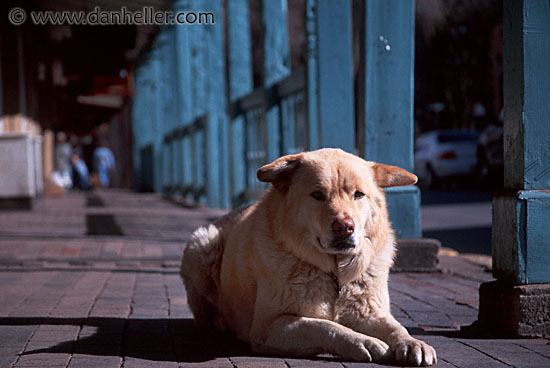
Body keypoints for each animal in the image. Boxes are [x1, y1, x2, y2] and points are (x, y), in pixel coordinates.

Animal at [181, 149, 440, 366]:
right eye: (317, 195)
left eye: (358, 195)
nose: (345, 227)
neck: (334, 274)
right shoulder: (270, 325)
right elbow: (324, 326)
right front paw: (363, 342)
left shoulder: (371, 313)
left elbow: (397, 327)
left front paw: (413, 343)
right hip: (202, 245)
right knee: (204, 315)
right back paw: (219, 322)